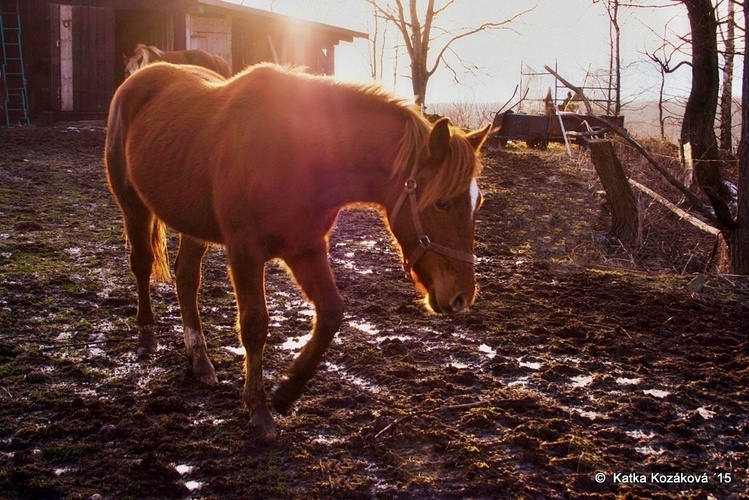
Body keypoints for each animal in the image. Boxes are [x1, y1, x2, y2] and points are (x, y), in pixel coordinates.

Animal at [105, 62, 490, 442]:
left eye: (478, 203)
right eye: (442, 203)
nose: (462, 297)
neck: (296, 153)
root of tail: (140, 77)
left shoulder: (306, 249)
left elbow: (332, 312)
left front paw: (287, 391)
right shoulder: (245, 252)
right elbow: (254, 325)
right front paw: (258, 409)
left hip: (193, 223)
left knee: (186, 279)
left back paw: (200, 359)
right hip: (133, 204)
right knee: (141, 264)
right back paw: (146, 336)